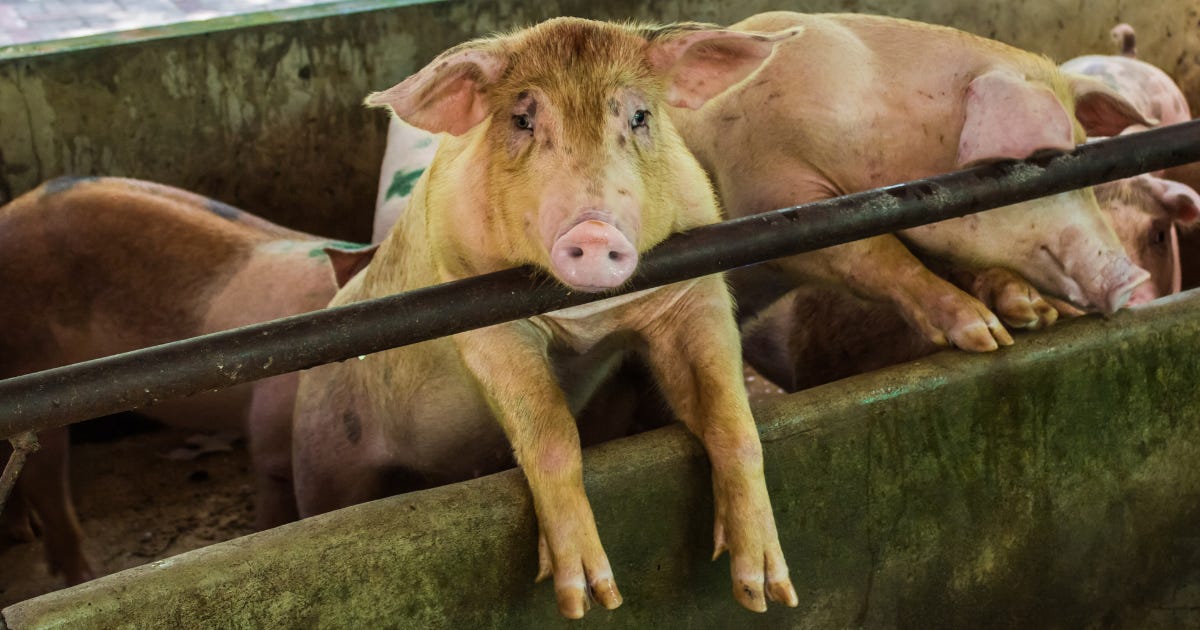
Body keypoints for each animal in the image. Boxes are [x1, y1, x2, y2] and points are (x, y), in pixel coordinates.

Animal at [0, 176, 375, 586]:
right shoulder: (272, 425)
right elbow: (275, 496)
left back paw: (24, 531)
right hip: (32, 365)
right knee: (47, 481)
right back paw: (83, 576)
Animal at [292, 18, 800, 618]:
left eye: (639, 116)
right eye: (523, 120)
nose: (594, 230)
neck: (588, 319)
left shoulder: (694, 288)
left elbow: (734, 421)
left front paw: (765, 591)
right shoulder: (481, 318)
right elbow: (553, 434)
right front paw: (590, 598)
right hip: (324, 453)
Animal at [669, 12, 1154, 355]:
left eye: (1084, 159)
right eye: (1043, 160)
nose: (1134, 278)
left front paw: (1033, 313)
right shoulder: (771, 191)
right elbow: (876, 255)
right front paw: (986, 335)